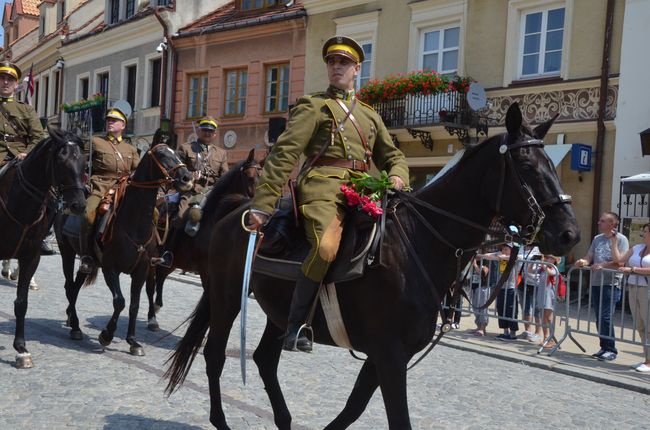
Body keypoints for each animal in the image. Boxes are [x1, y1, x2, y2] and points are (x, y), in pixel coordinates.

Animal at [0, 126, 85, 368]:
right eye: (61, 159)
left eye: (83, 160)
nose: (78, 204)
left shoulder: (31, 256)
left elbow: (21, 303)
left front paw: (21, 349)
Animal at [54, 144, 192, 356]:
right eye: (162, 154)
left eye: (177, 154)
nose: (187, 178)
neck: (134, 221)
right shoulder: (110, 268)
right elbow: (120, 301)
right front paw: (106, 335)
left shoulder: (142, 270)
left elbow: (134, 304)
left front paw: (133, 341)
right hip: (66, 253)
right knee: (69, 286)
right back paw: (76, 327)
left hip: (87, 262)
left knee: (75, 286)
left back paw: (71, 319)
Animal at [145, 149, 260, 330]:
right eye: (249, 177)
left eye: (260, 177)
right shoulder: (207, 271)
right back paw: (152, 316)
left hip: (174, 261)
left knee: (162, 275)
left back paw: (156, 307)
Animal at [165, 102, 580, 428]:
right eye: (526, 165)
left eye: (552, 164)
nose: (569, 234)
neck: (419, 241)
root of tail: (239, 211)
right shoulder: (390, 354)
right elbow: (396, 418)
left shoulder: (387, 354)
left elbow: (354, 408)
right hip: (226, 298)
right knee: (215, 355)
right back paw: (221, 420)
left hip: (278, 312)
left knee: (265, 359)